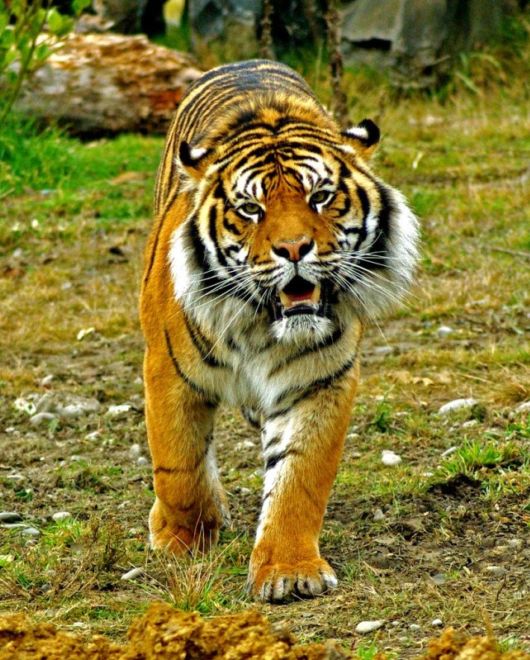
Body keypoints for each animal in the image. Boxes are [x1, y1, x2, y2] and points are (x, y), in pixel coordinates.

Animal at [140, 59, 419, 602]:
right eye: (252, 209)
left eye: (321, 197)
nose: (293, 249)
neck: (261, 324)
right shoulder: (169, 371)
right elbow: (178, 466)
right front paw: (181, 540)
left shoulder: (320, 379)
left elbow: (299, 477)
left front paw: (289, 571)